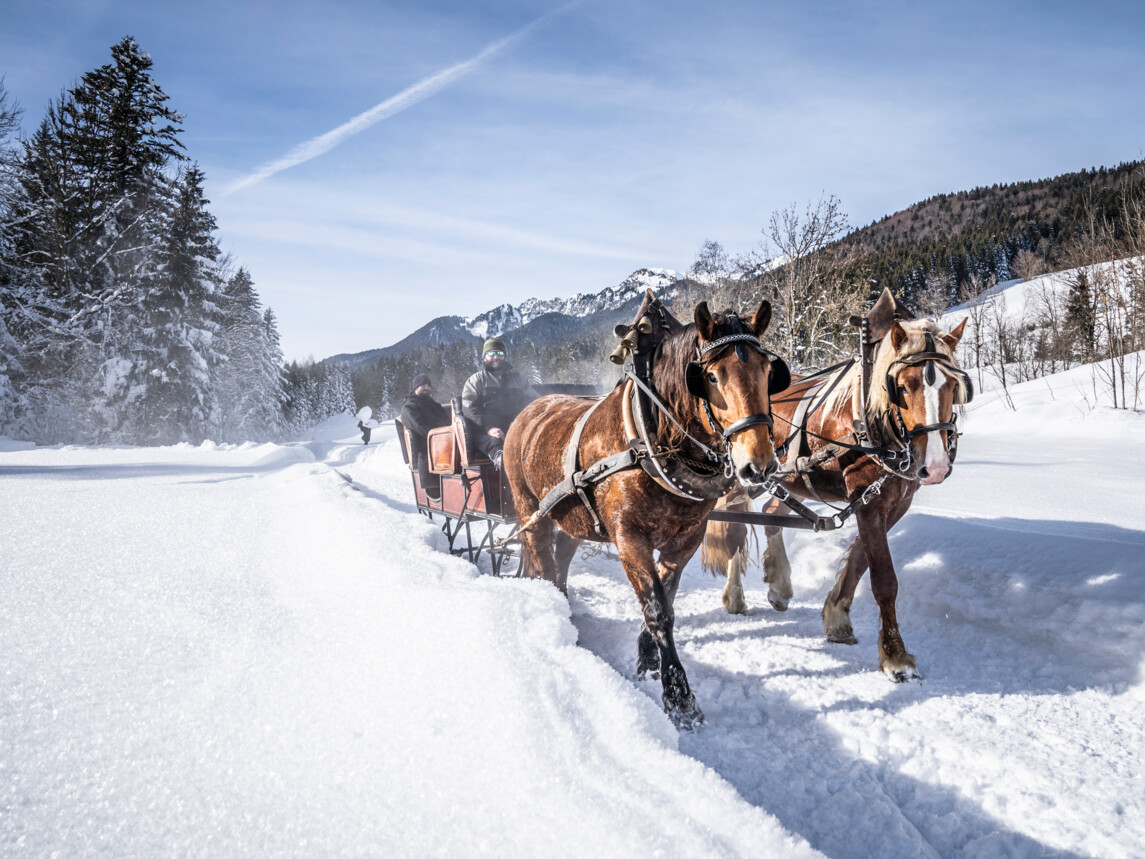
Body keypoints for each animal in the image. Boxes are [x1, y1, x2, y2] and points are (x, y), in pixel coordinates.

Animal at [503, 297, 787, 728]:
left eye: (768, 372)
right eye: (711, 377)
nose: (758, 465)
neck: (651, 439)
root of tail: (530, 408)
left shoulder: (687, 538)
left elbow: (666, 598)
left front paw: (647, 657)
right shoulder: (628, 537)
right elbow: (657, 608)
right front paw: (678, 696)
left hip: (570, 517)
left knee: (562, 556)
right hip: (528, 508)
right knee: (541, 558)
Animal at [700, 300, 970, 682]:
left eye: (953, 385)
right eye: (902, 387)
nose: (934, 466)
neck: (869, 422)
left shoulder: (893, 502)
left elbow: (859, 560)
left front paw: (837, 615)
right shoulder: (868, 501)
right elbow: (884, 579)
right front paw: (896, 656)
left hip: (789, 480)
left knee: (768, 514)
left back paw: (779, 585)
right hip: (742, 475)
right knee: (735, 528)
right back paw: (735, 595)